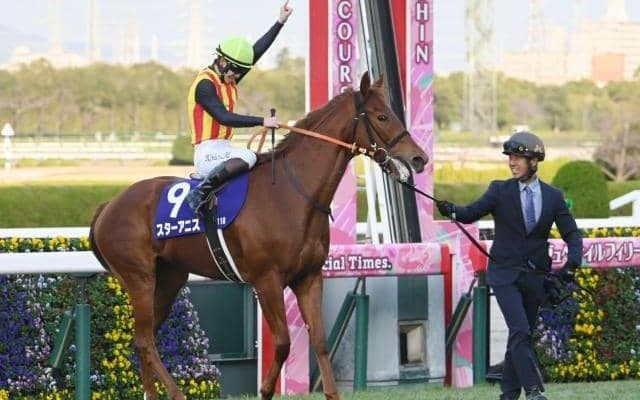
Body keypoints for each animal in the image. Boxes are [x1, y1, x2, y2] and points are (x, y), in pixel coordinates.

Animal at [89, 72, 428, 400]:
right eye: (382, 116)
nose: (419, 158)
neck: (292, 195)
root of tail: (108, 206)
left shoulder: (309, 277)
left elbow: (319, 341)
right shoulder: (267, 281)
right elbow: (282, 343)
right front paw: (265, 390)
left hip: (170, 278)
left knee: (142, 340)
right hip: (140, 278)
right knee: (145, 341)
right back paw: (172, 394)